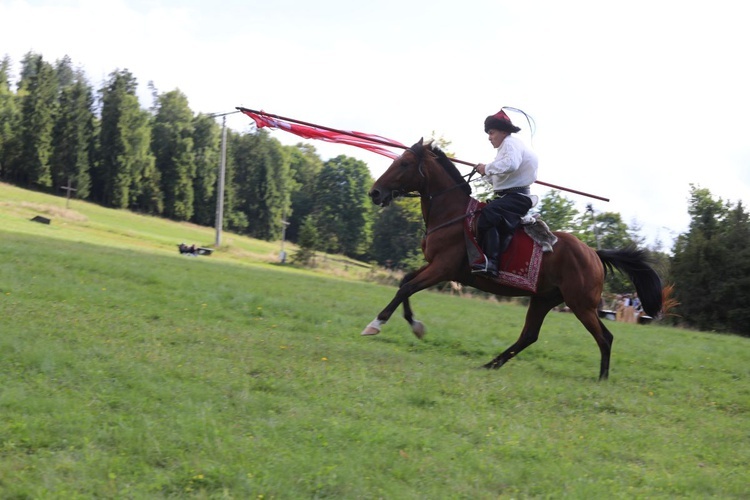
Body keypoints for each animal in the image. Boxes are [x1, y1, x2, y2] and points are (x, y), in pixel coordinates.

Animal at [364, 138, 664, 378]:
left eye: (404, 163)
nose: (375, 192)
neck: (452, 214)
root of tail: (593, 253)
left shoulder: (442, 269)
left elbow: (406, 288)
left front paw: (376, 325)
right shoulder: (434, 266)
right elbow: (405, 281)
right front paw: (414, 325)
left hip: (581, 304)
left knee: (605, 337)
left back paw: (602, 379)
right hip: (544, 299)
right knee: (529, 336)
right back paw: (491, 364)